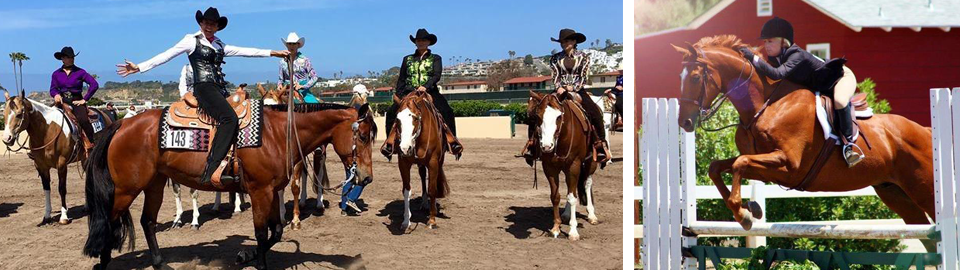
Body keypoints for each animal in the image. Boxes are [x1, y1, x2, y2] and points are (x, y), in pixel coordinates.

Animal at [1, 89, 112, 226]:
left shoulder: (62, 164)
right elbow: (46, 190)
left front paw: (64, 216)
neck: (47, 131)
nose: (7, 139)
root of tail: (105, 114)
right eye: (4, 114)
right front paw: (46, 216)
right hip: (85, 158)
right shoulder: (41, 166)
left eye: (19, 114)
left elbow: (62, 188)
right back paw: (87, 207)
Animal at [81, 102, 376, 268]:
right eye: (362, 136)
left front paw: (247, 256)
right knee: (109, 221)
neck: (277, 134)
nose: (366, 177)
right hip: (126, 189)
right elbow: (262, 234)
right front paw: (257, 262)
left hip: (154, 183)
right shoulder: (260, 191)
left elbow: (277, 232)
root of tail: (121, 123)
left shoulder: (271, 191)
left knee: (147, 222)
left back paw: (159, 264)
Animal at [388, 91, 452, 232]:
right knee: (423, 176)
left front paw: (432, 221)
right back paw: (424, 203)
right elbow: (406, 190)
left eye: (416, 118)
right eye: (397, 120)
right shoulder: (403, 163)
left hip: (439, 161)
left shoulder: (433, 162)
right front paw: (406, 221)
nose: (405, 148)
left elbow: (432, 189)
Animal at [524, 90, 600, 240]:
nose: (547, 146)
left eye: (559, 116)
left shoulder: (574, 165)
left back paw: (592, 215)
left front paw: (573, 231)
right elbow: (555, 196)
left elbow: (572, 197)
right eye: (538, 116)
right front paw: (555, 228)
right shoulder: (549, 167)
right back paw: (566, 214)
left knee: (587, 184)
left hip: (590, 162)